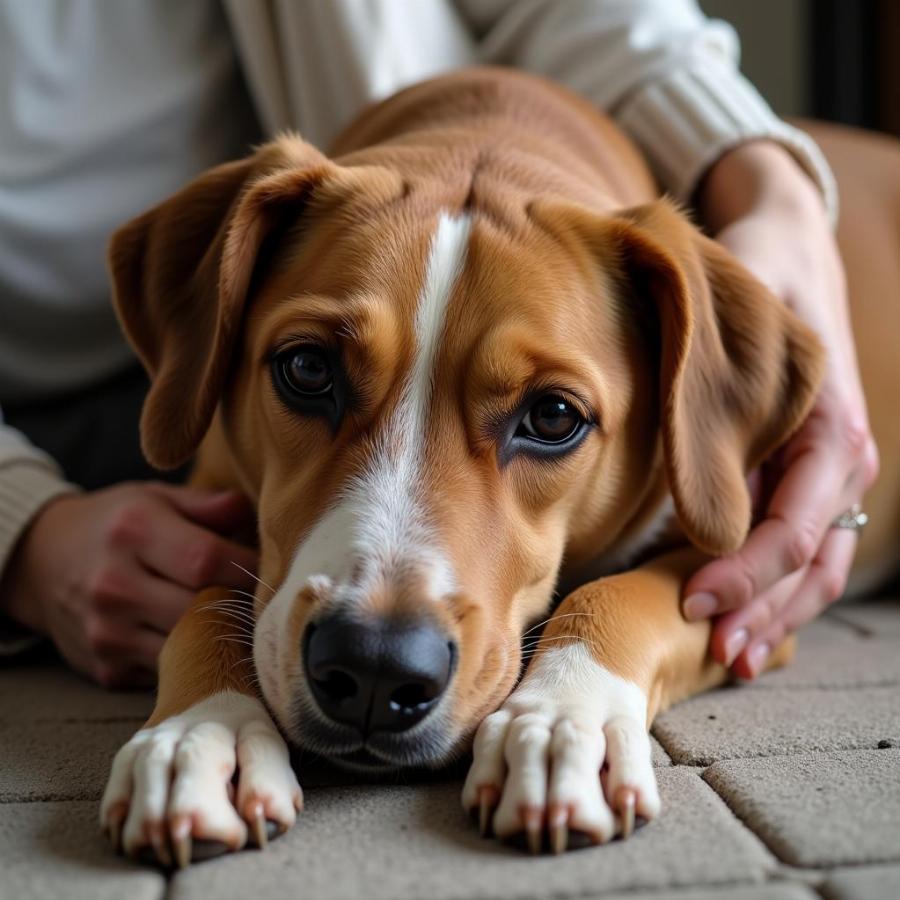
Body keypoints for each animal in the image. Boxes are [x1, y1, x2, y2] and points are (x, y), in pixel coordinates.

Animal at [98, 67, 900, 868]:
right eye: (307, 368)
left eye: (552, 417)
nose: (375, 665)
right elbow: (207, 602)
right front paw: (202, 731)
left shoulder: (743, 580)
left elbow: (619, 594)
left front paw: (561, 723)